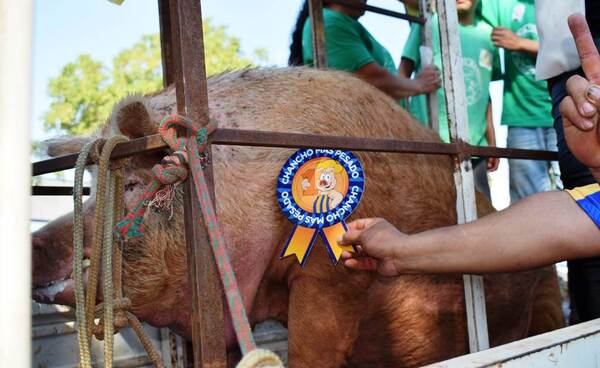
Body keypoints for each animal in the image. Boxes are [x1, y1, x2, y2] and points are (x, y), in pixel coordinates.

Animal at [30, 67, 564, 366]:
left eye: (134, 185)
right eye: (91, 186)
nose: (33, 243)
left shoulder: (333, 272)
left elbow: (312, 346)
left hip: (546, 294)